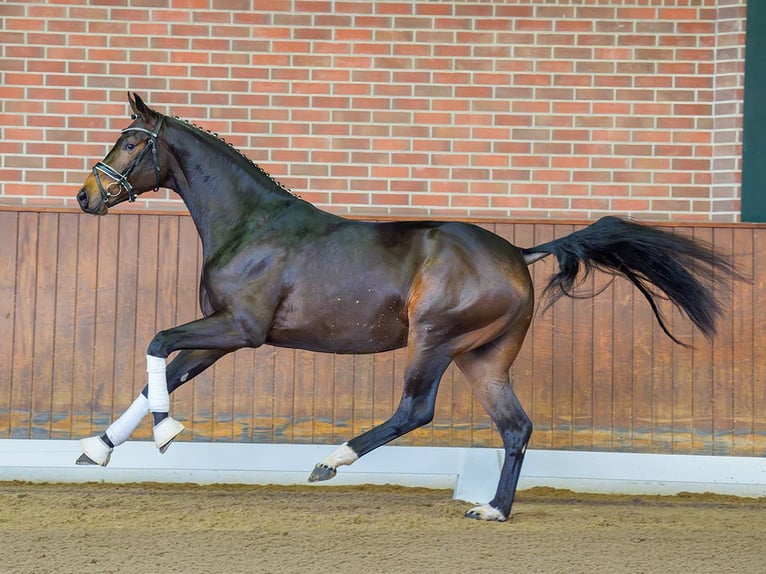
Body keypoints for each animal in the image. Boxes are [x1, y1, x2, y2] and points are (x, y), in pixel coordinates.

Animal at [76, 94, 736, 520]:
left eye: (131, 141)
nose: (86, 197)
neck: (252, 226)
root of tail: (517, 253)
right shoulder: (223, 336)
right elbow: (162, 374)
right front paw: (97, 449)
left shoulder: (240, 329)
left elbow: (157, 344)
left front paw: (165, 435)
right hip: (482, 358)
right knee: (516, 426)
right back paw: (493, 509)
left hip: (434, 340)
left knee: (417, 410)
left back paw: (332, 461)